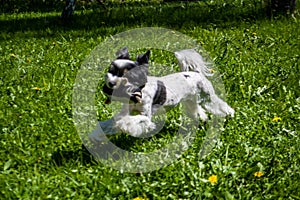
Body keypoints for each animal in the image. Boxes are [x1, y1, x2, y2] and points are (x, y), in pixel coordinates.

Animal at [90, 47, 233, 140]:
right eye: (111, 71)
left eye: (127, 76)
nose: (110, 84)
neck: (138, 93)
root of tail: (195, 73)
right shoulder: (126, 111)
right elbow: (112, 121)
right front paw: (97, 133)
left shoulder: (145, 115)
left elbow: (132, 121)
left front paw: (123, 125)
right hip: (190, 100)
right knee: (197, 110)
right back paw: (202, 119)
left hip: (207, 97)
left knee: (220, 106)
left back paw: (229, 115)